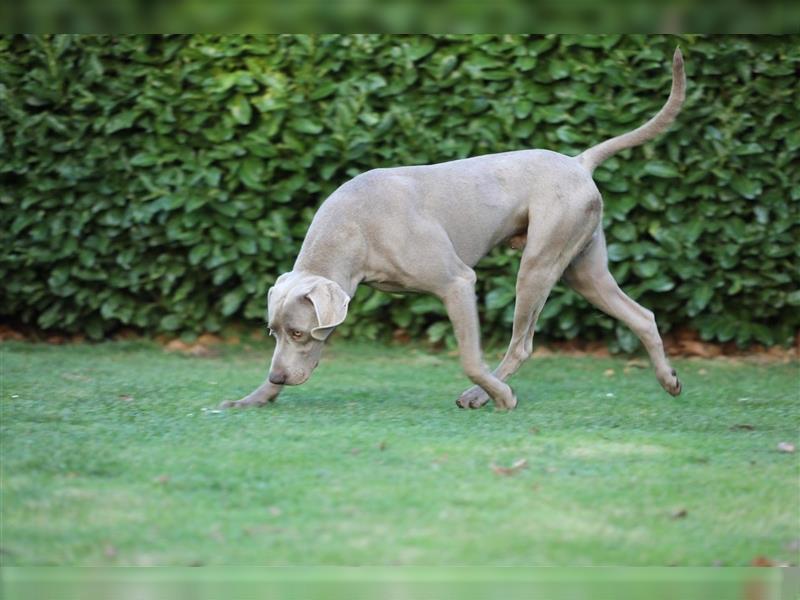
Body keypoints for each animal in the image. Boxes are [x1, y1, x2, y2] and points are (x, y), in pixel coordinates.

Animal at [225, 49, 688, 410]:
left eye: (299, 332)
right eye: (273, 332)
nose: (279, 378)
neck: (354, 230)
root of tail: (578, 162)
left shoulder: (457, 282)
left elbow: (468, 356)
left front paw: (502, 397)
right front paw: (251, 399)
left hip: (540, 261)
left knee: (522, 342)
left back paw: (485, 395)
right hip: (583, 267)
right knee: (642, 316)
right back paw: (669, 380)